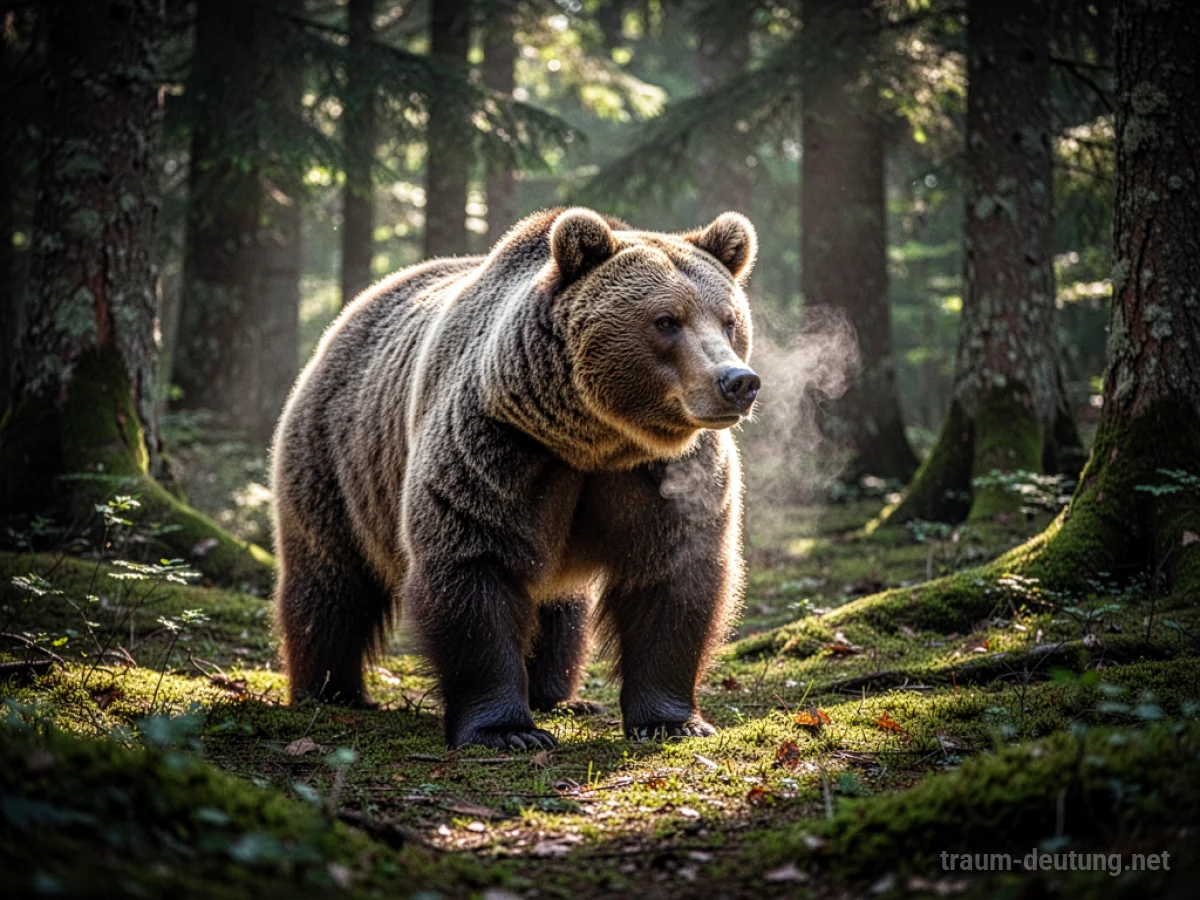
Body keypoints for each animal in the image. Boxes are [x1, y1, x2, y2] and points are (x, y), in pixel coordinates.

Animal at [272, 207, 761, 750]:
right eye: (666, 320)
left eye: (729, 320)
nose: (738, 381)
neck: (595, 441)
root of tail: (351, 312)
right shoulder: (496, 451)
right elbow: (475, 570)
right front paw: (506, 731)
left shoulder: (665, 475)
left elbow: (673, 578)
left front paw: (673, 721)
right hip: (337, 459)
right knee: (330, 579)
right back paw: (329, 690)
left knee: (562, 610)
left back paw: (559, 696)